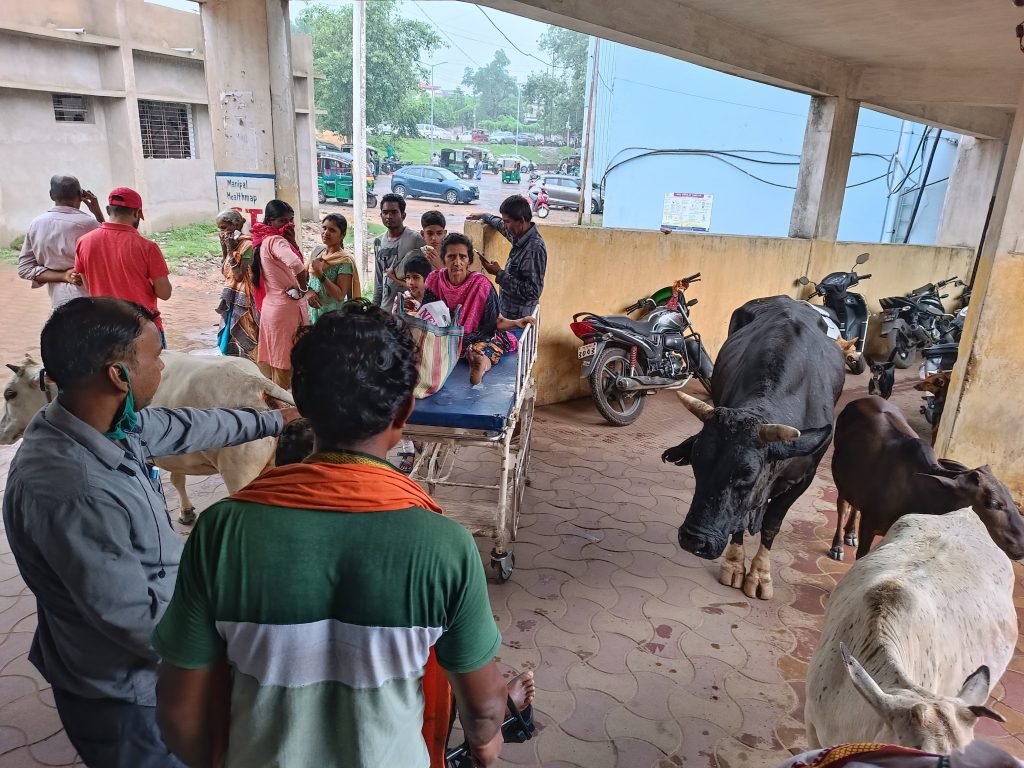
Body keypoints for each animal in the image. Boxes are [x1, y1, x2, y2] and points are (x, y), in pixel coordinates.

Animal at [1, 352, 294, 523]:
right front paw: (186, 512)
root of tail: (255, 382)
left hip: (238, 473)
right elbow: (177, 479)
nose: (2, 430)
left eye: (9, 393)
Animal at [662, 296, 844, 600]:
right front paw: (736, 565)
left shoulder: (803, 480)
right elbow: (738, 521)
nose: (693, 540)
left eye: (746, 479)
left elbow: (771, 525)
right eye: (697, 466)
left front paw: (760, 574)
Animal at [829, 396, 1024, 561]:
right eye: (992, 503)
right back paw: (837, 546)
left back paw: (850, 533)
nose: (1022, 545)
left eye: (1011, 498)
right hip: (842, 479)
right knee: (843, 506)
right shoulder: (868, 526)